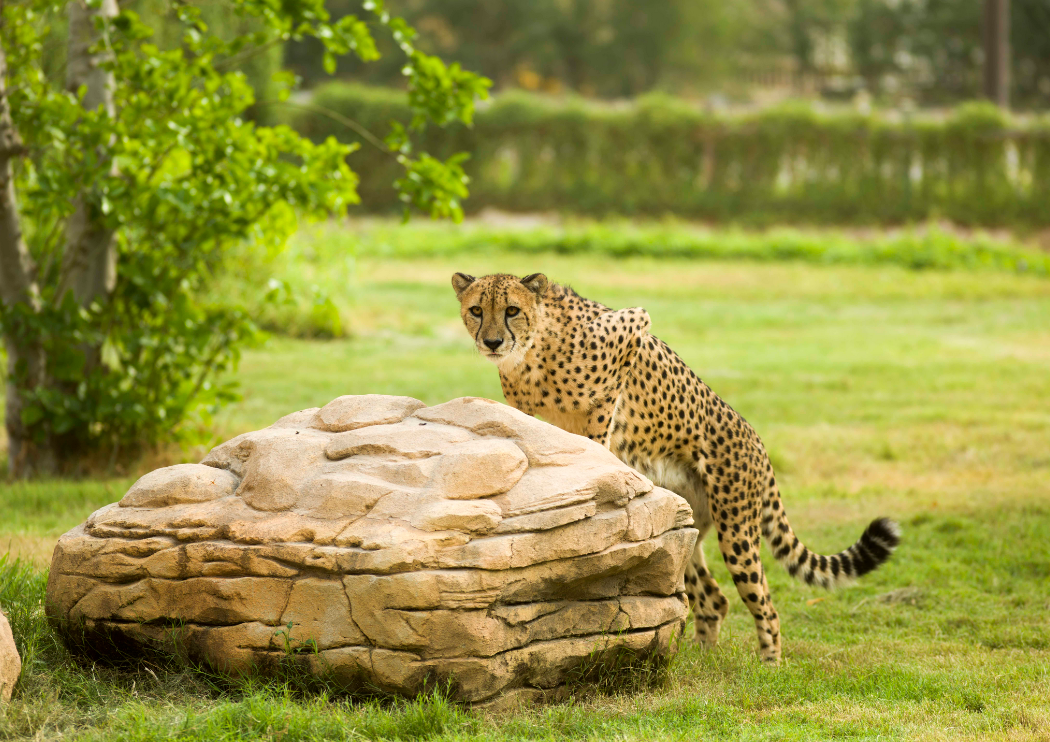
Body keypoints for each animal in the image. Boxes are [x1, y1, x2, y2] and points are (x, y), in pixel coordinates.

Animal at [447, 270, 898, 663]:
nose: (492, 341)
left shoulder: (630, 330)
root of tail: (757, 440)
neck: (533, 348)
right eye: (476, 310)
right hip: (688, 525)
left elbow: (597, 427)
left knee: (764, 606)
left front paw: (596, 462)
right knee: (712, 597)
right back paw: (698, 659)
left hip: (737, 531)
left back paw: (769, 665)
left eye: (511, 310)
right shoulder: (529, 410)